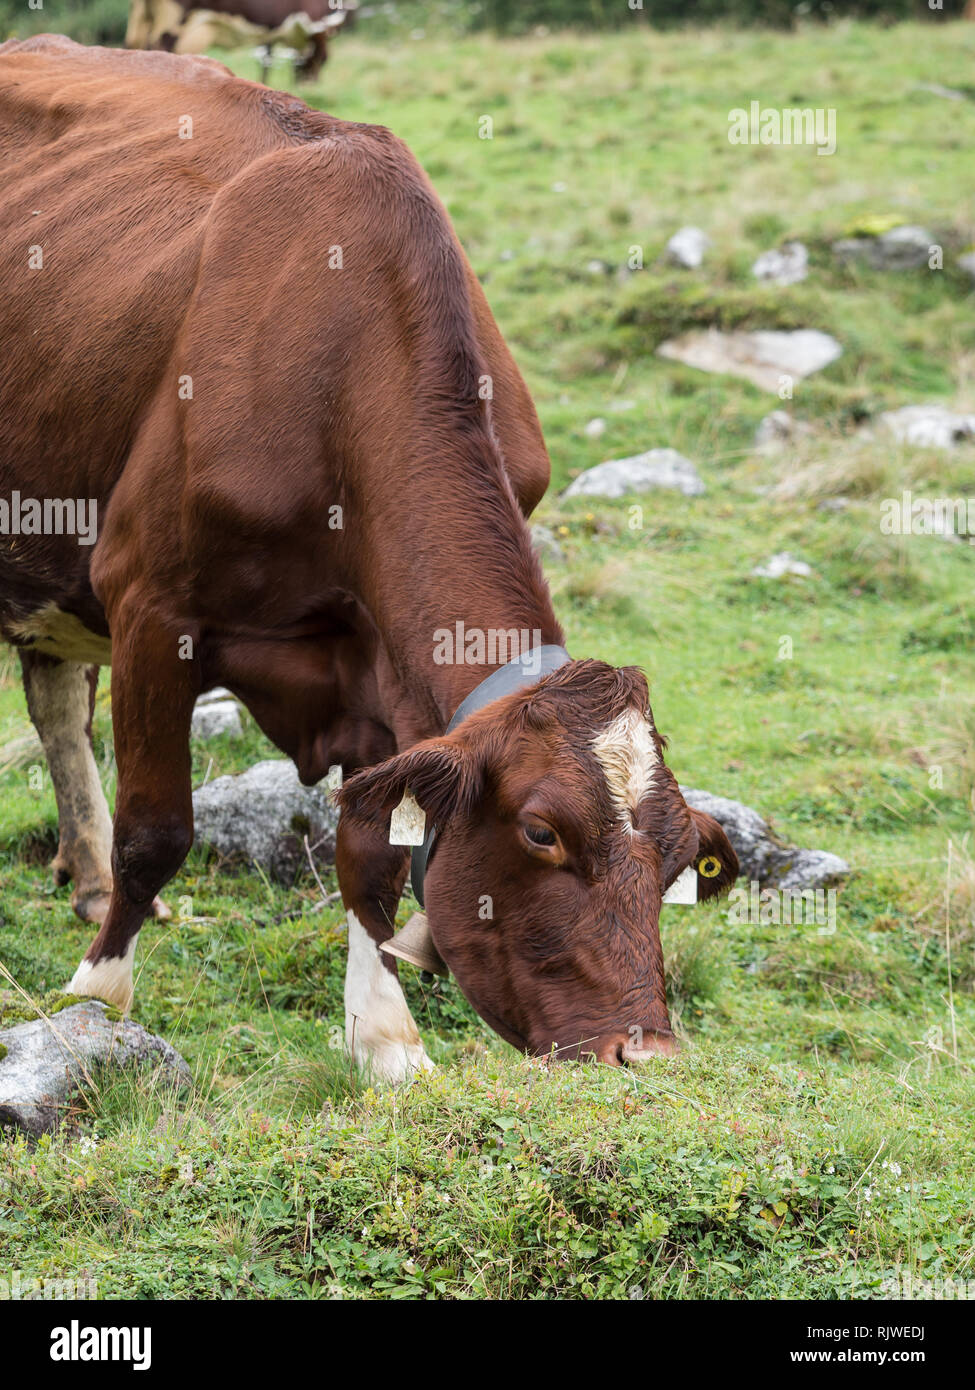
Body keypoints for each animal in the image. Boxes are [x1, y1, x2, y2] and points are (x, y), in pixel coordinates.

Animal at [0, 37, 738, 1082]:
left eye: (680, 860)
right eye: (541, 832)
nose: (643, 1052)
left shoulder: (378, 663)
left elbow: (372, 853)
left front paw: (387, 1040)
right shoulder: (148, 603)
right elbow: (159, 831)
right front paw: (98, 997)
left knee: (56, 697)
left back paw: (90, 882)